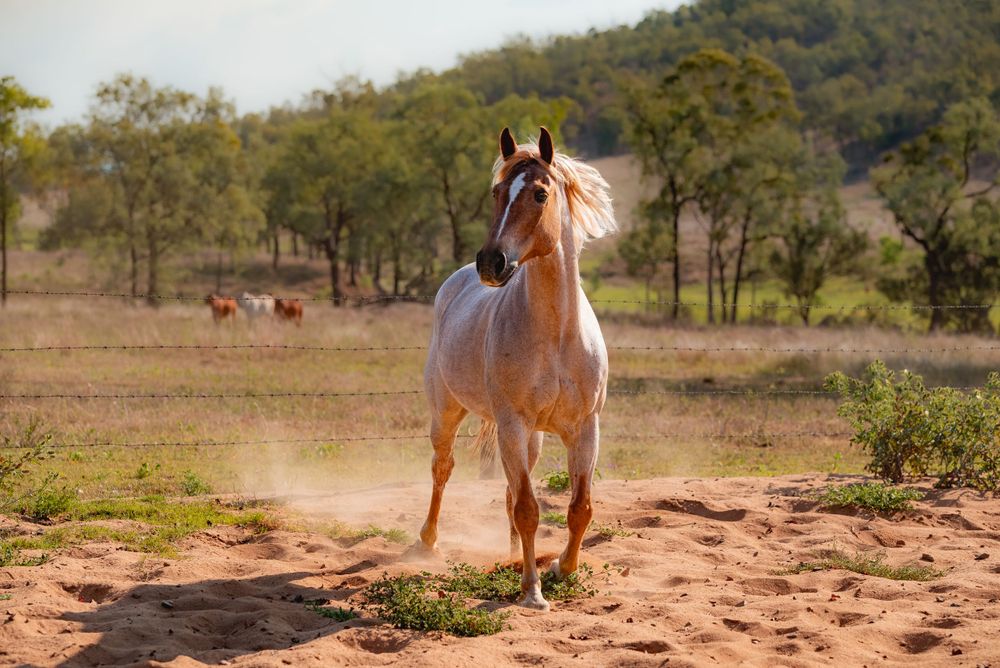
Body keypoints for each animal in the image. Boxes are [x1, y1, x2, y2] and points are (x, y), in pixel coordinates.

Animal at [418, 126, 617, 611]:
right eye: (496, 192)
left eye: (541, 193)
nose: (491, 263)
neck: (557, 335)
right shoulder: (511, 422)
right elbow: (529, 509)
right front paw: (532, 591)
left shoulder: (585, 428)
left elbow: (579, 508)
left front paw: (562, 568)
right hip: (448, 414)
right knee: (443, 469)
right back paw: (428, 541)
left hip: (533, 439)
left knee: (510, 490)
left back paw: (508, 552)